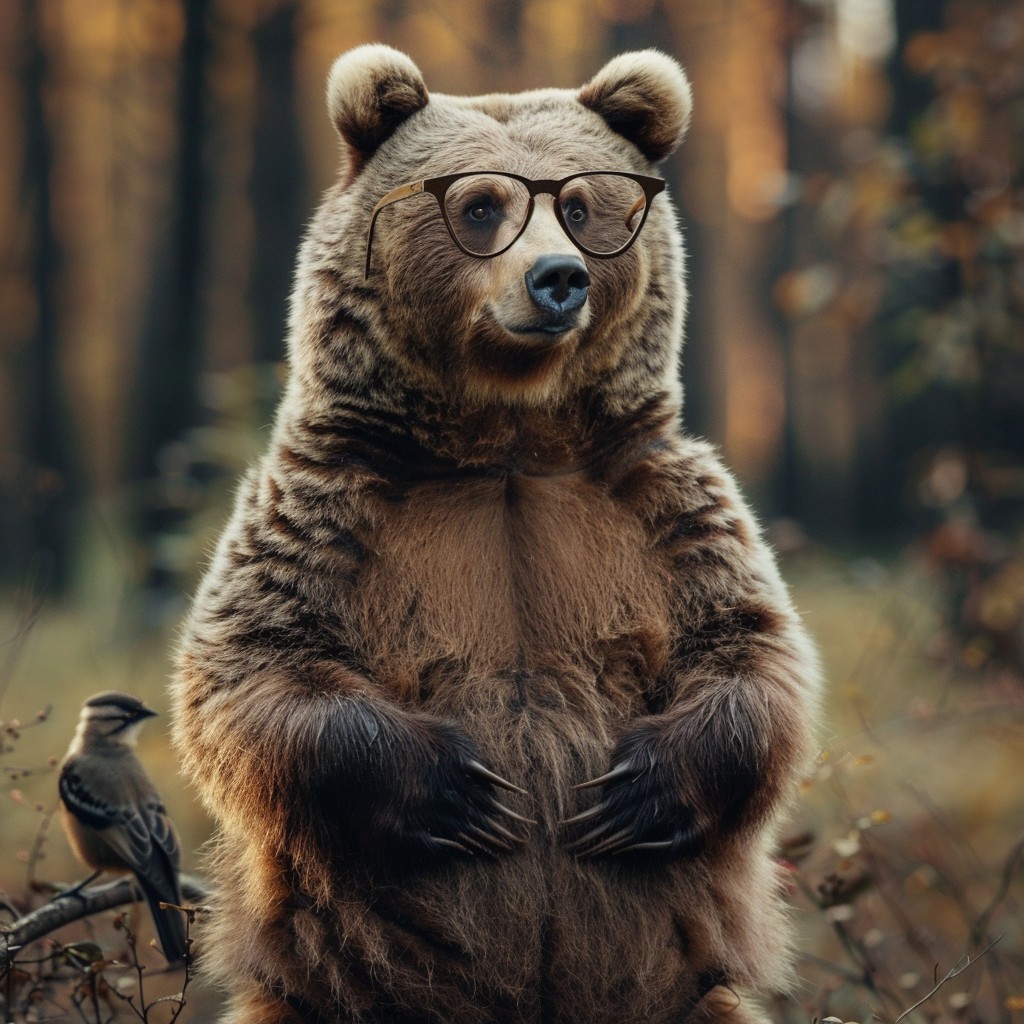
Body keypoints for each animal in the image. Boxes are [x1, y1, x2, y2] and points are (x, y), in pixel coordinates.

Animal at [173, 43, 821, 1024]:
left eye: (582, 205)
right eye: (481, 205)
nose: (559, 278)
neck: (508, 442)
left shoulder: (662, 506)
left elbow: (752, 656)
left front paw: (633, 793)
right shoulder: (328, 508)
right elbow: (255, 671)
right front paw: (460, 793)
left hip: (694, 995)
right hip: (315, 996)